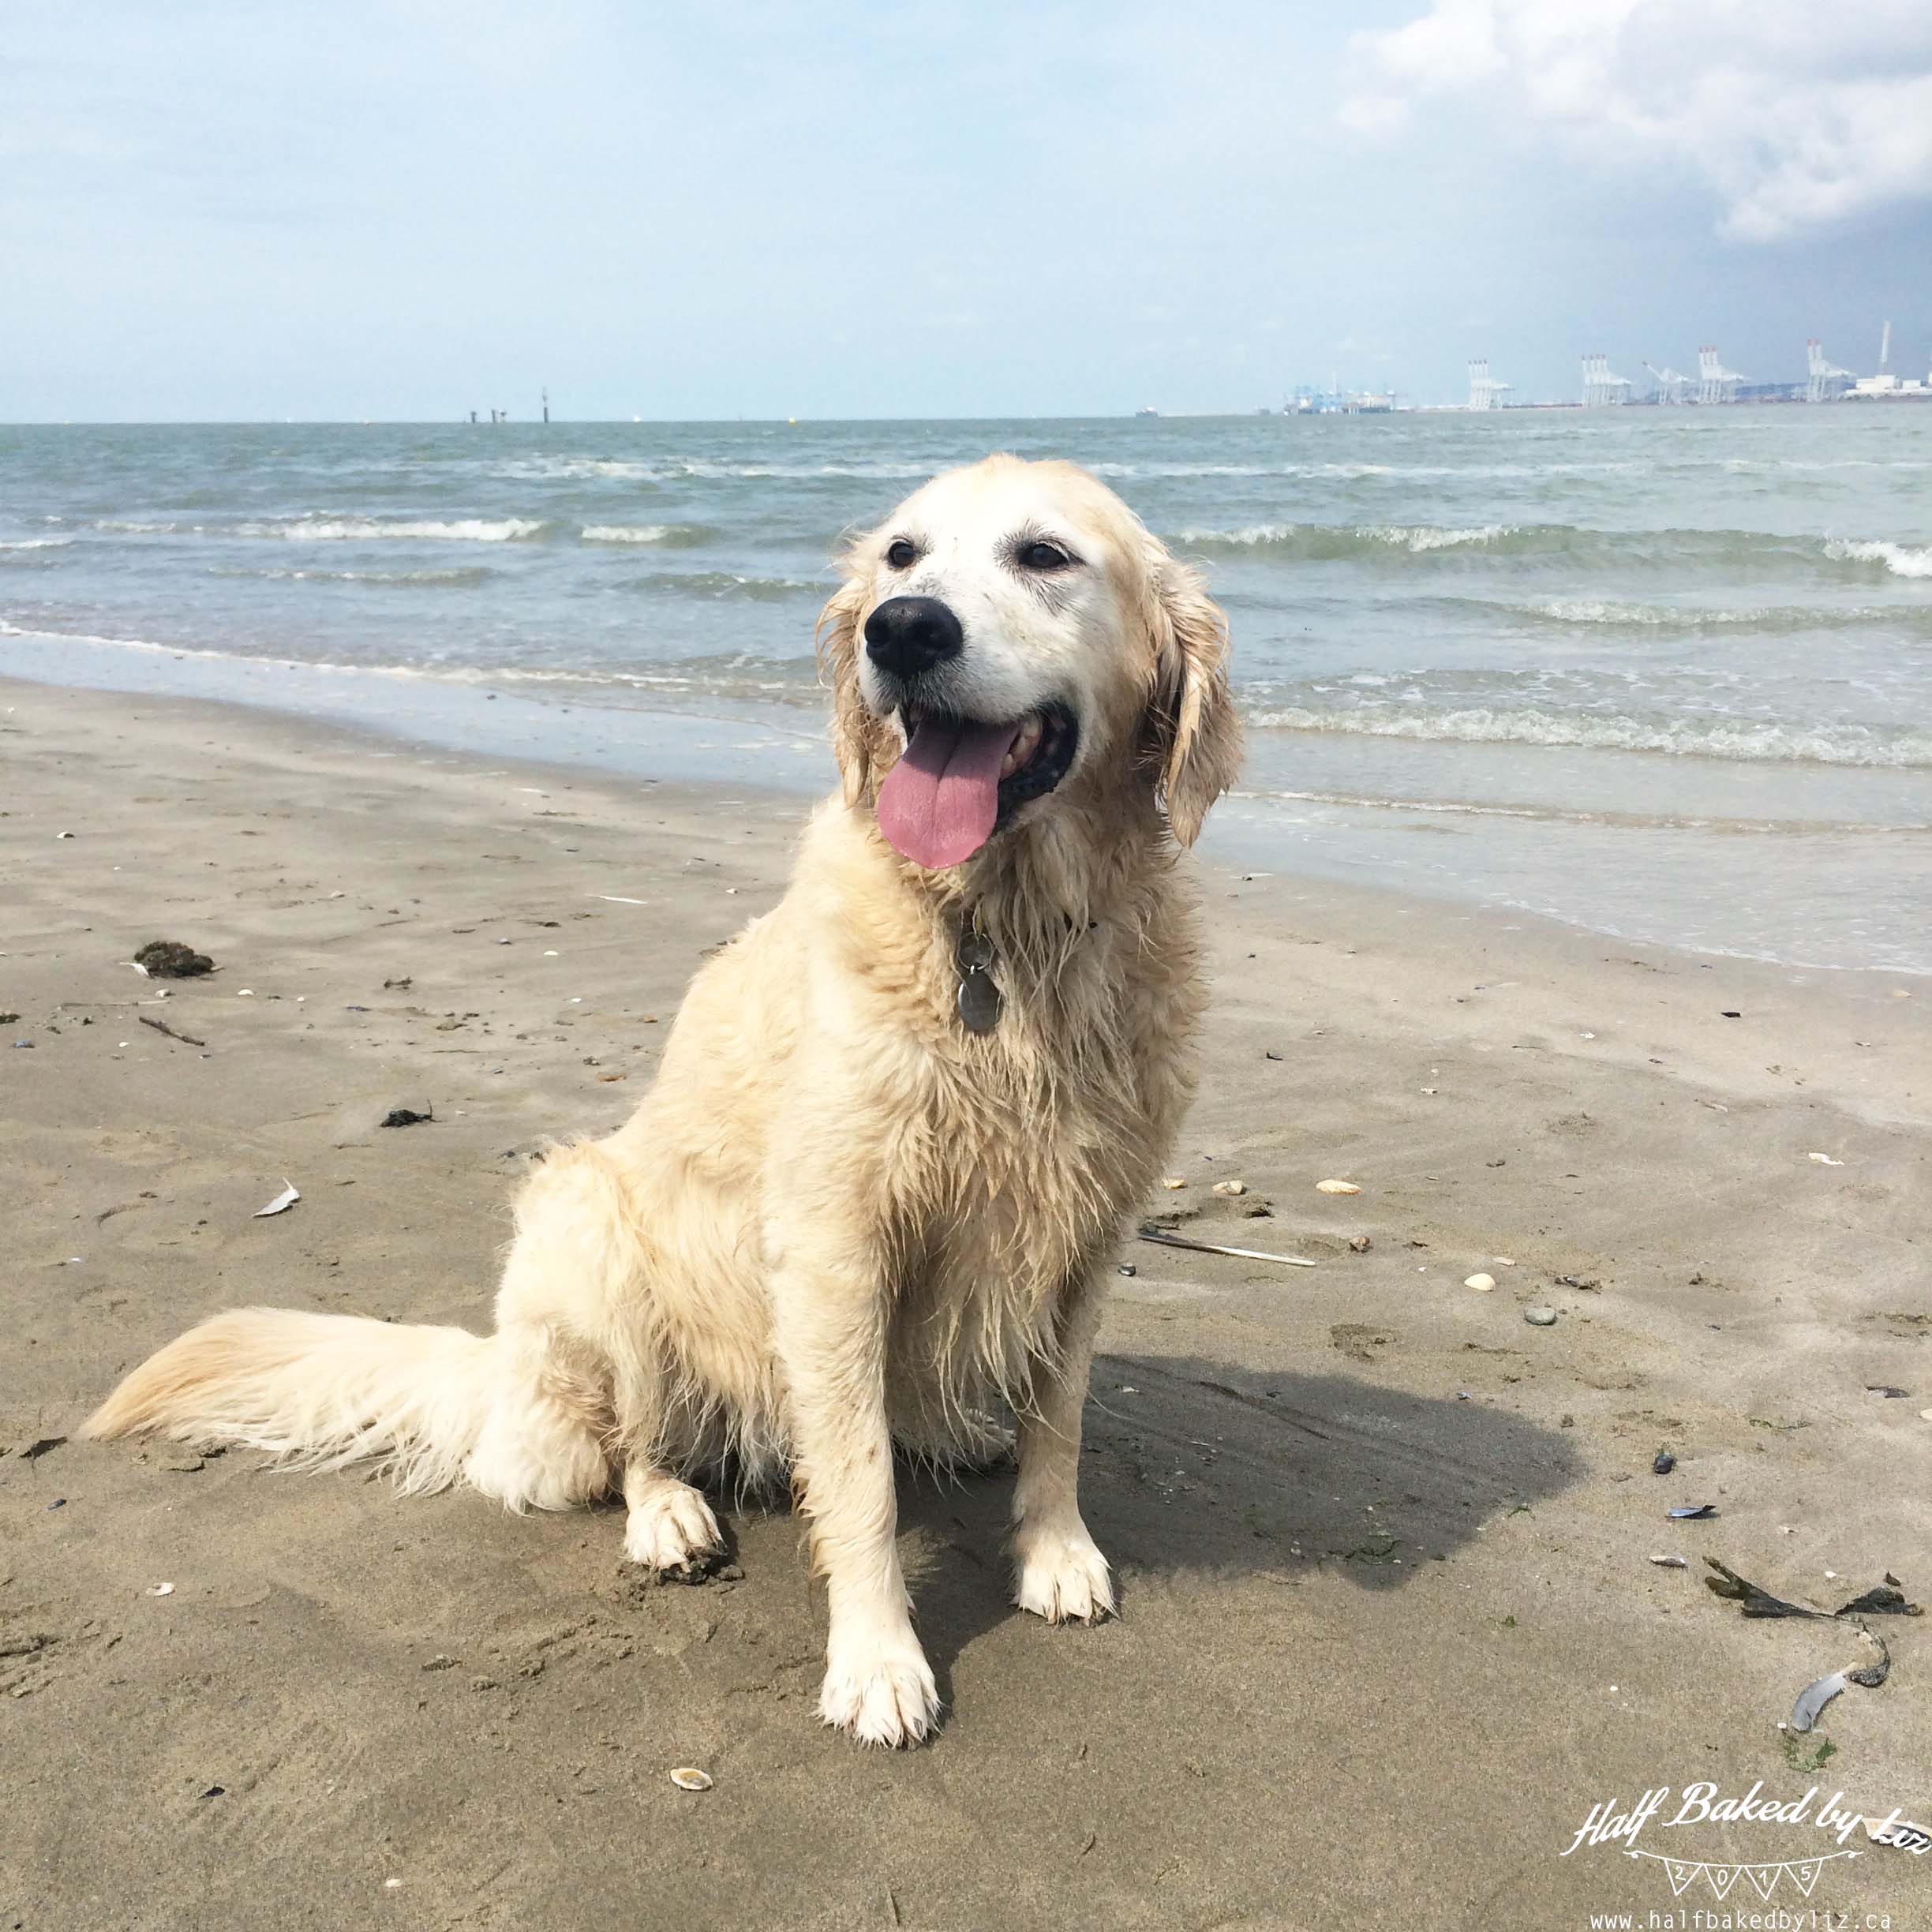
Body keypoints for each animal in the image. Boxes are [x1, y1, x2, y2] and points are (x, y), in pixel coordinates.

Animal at [79, 455, 1236, 1754]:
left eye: (1045, 555)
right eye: (901, 555)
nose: (901, 630)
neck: (1003, 931)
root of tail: (501, 1369)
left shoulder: (1090, 1224)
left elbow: (1059, 1415)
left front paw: (1054, 1550)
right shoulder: (834, 1244)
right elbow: (860, 1484)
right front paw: (877, 1661)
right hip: (595, 1223)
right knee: (633, 1441)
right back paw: (668, 1515)